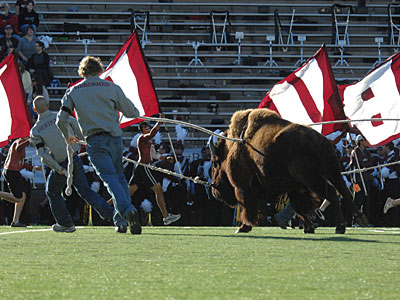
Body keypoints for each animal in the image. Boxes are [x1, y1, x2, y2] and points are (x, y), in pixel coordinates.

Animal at [209, 108, 354, 234]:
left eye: (215, 163)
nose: (214, 189)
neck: (231, 147)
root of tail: (316, 138)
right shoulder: (295, 188)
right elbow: (298, 207)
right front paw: (308, 228)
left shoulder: (242, 186)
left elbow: (247, 206)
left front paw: (243, 227)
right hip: (332, 172)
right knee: (344, 193)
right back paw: (346, 223)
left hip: (312, 178)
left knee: (331, 193)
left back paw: (340, 227)